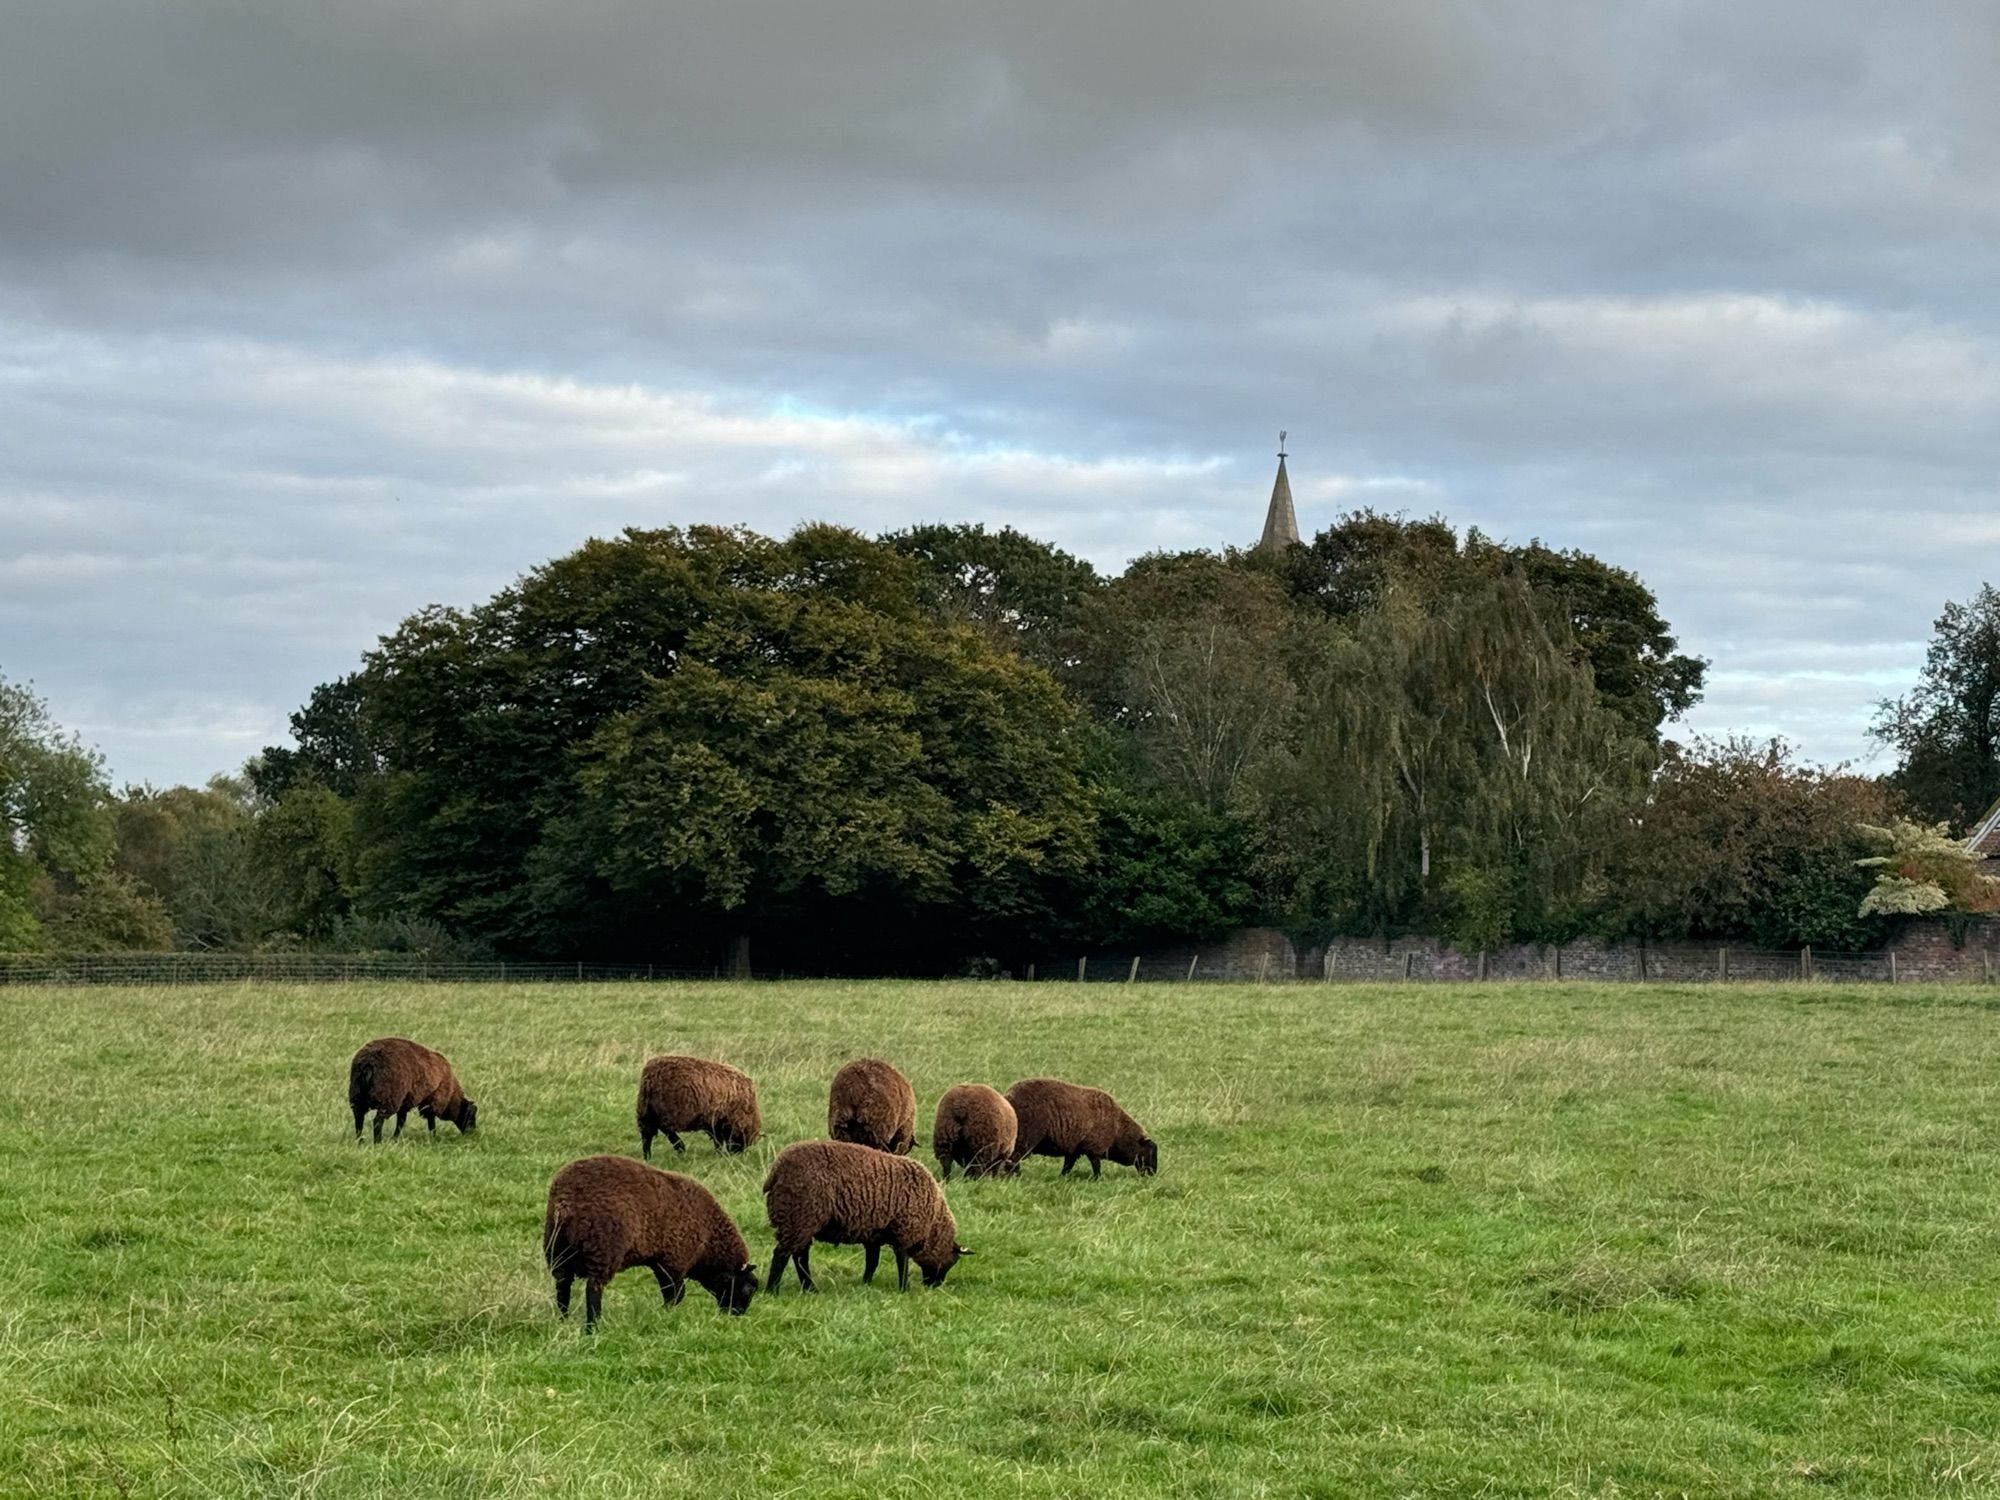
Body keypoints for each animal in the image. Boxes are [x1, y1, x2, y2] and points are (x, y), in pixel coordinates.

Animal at [348, 1040, 476, 1144]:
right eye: (471, 1116)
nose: (472, 1134)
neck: (451, 1097)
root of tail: (369, 1062)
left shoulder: (405, 1103)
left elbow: (401, 1122)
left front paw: (395, 1139)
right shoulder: (432, 1102)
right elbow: (431, 1123)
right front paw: (434, 1138)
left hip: (357, 1095)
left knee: (358, 1119)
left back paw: (359, 1141)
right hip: (388, 1097)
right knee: (377, 1121)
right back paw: (377, 1143)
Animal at [540, 1160, 756, 1336]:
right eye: (746, 1290)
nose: (737, 1314)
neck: (709, 1241)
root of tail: (566, 1202)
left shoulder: (659, 1262)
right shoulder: (673, 1261)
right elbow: (675, 1294)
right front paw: (665, 1314)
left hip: (557, 1250)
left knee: (562, 1287)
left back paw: (563, 1320)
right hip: (601, 1249)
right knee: (593, 1290)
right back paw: (592, 1328)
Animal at [756, 1136, 968, 1296]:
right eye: (952, 1261)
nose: (934, 1286)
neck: (933, 1223)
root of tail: (776, 1170)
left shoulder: (873, 1234)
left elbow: (872, 1262)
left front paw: (865, 1283)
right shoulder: (904, 1231)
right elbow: (902, 1263)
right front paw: (903, 1289)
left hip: (798, 1221)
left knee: (799, 1256)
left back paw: (810, 1288)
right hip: (799, 1217)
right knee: (782, 1255)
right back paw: (772, 1290)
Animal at [1000, 1080, 1160, 1184]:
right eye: (1148, 1152)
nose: (1152, 1174)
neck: (1118, 1131)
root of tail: (1009, 1097)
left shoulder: (1074, 1150)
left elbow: (1067, 1166)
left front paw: (1062, 1178)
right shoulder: (1094, 1148)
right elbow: (1096, 1166)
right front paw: (1097, 1180)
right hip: (1024, 1137)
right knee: (1013, 1159)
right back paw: (1014, 1177)